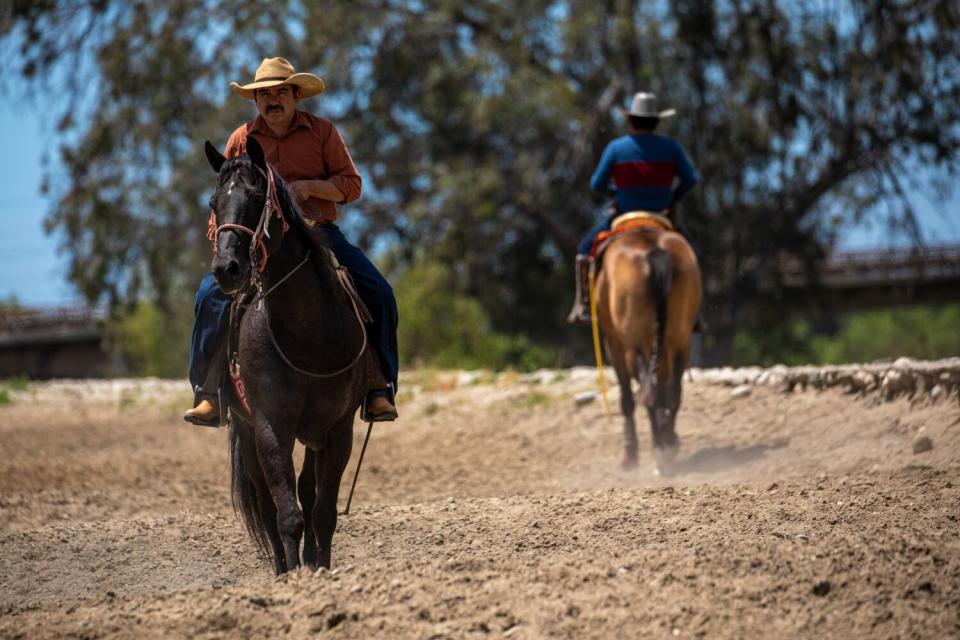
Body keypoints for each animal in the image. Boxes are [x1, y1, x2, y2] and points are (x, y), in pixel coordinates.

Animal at [205, 138, 382, 572]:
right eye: (215, 202)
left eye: (256, 198)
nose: (227, 269)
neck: (307, 332)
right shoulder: (270, 427)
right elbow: (287, 514)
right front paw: (294, 574)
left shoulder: (338, 430)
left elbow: (323, 510)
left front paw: (321, 568)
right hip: (247, 431)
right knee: (268, 507)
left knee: (307, 491)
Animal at [596, 220, 700, 476]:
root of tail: (654, 250)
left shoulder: (613, 342)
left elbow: (627, 398)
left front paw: (630, 455)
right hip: (680, 339)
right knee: (672, 392)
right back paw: (668, 444)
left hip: (633, 343)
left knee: (648, 391)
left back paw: (660, 452)